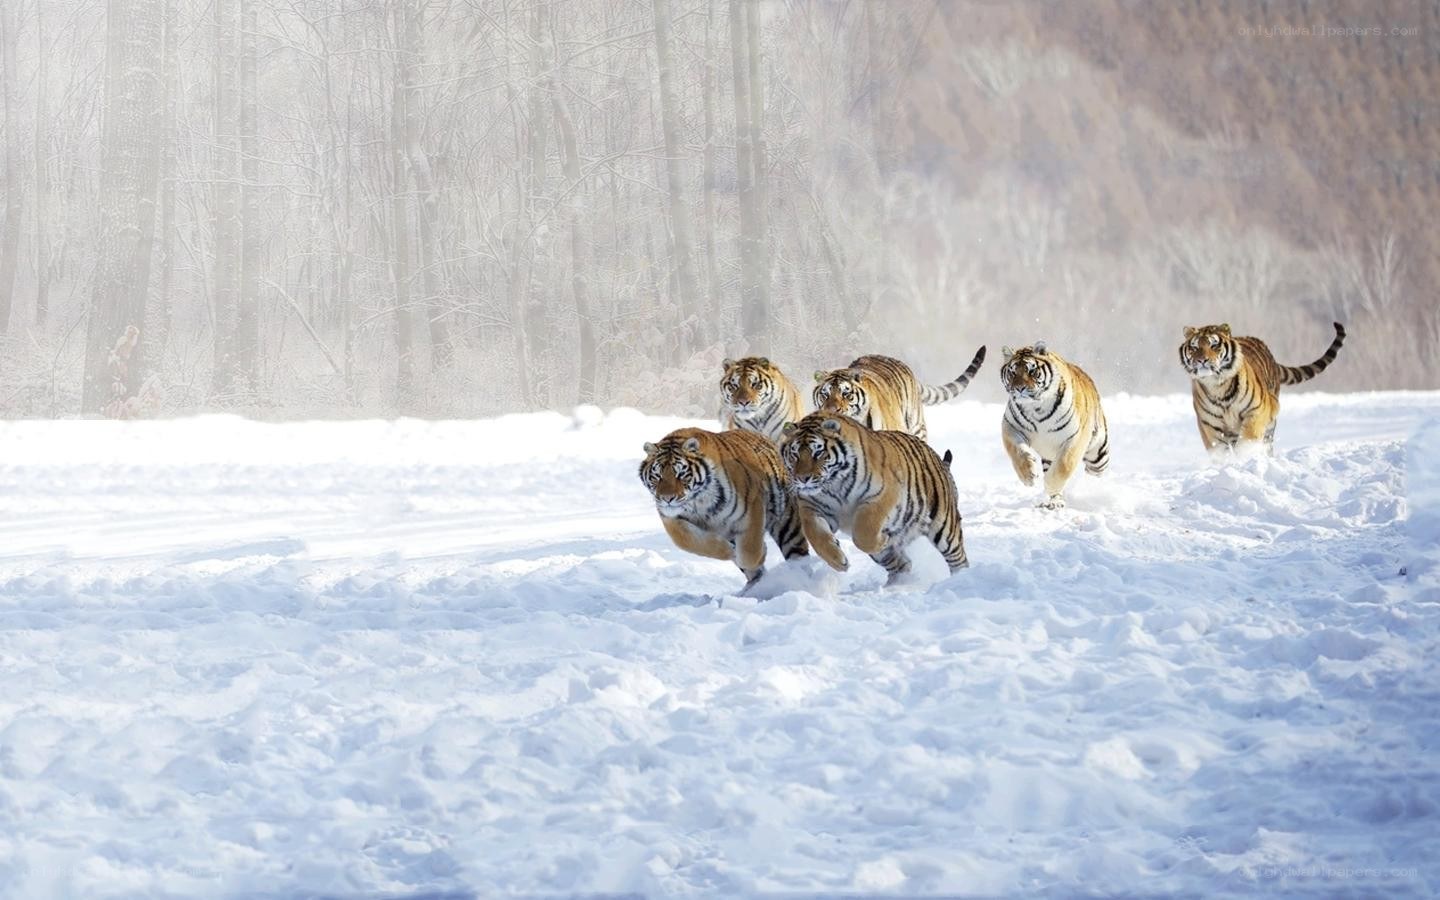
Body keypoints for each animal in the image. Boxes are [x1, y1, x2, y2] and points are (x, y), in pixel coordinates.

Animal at [640, 426, 809, 593]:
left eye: (681, 474)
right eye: (657, 475)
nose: (667, 498)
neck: (698, 502)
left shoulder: (751, 507)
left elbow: (749, 551)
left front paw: (760, 554)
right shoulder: (671, 519)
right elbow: (691, 542)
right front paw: (731, 552)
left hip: (786, 523)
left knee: (797, 552)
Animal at [779, 413, 969, 584]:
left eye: (818, 453)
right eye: (795, 454)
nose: (803, 478)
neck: (834, 484)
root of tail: (936, 458)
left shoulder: (881, 496)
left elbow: (864, 532)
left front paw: (882, 539)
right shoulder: (811, 507)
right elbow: (815, 534)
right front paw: (838, 561)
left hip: (944, 527)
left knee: (958, 560)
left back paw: (959, 580)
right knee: (902, 565)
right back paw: (897, 585)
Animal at [1000, 342, 1109, 510]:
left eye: (1032, 371)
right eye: (1012, 372)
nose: (1019, 388)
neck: (1036, 408)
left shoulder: (1077, 437)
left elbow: (1064, 465)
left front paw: (1050, 486)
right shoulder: (1010, 427)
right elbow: (1017, 452)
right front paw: (1029, 475)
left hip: (1098, 455)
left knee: (1096, 472)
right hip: (1049, 456)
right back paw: (1055, 502)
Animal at [1179, 322, 1346, 453]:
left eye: (1214, 345)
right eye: (1194, 347)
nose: (1202, 360)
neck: (1217, 385)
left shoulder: (1256, 411)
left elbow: (1248, 439)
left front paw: (1243, 458)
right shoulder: (1210, 424)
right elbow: (1220, 451)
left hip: (1270, 421)